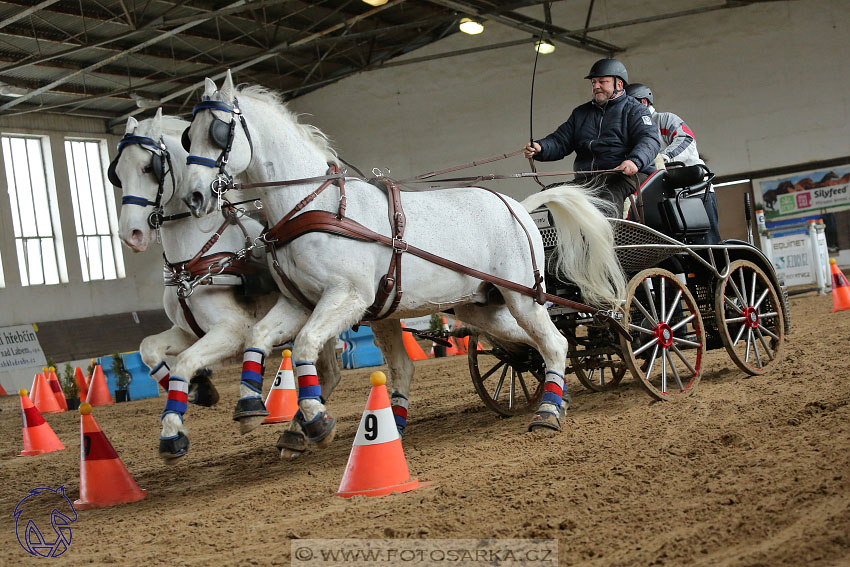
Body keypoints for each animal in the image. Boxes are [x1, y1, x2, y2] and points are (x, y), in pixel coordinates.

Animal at [112, 108, 342, 460]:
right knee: (329, 373)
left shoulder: (232, 331)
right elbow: (149, 349)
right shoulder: (189, 331)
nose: (131, 235)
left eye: (148, 167)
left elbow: (184, 361)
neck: (193, 259)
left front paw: (173, 434)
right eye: (117, 174)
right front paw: (200, 389)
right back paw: (297, 433)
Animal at [182, 70, 624, 448]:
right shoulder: (299, 303)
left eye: (218, 131)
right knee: (537, 344)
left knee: (555, 343)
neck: (314, 208)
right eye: (189, 135)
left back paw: (547, 413)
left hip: (524, 297)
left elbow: (305, 343)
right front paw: (250, 409)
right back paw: (553, 395)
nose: (194, 197)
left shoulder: (347, 297)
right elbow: (258, 337)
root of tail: (518, 206)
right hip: (479, 307)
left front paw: (317, 422)